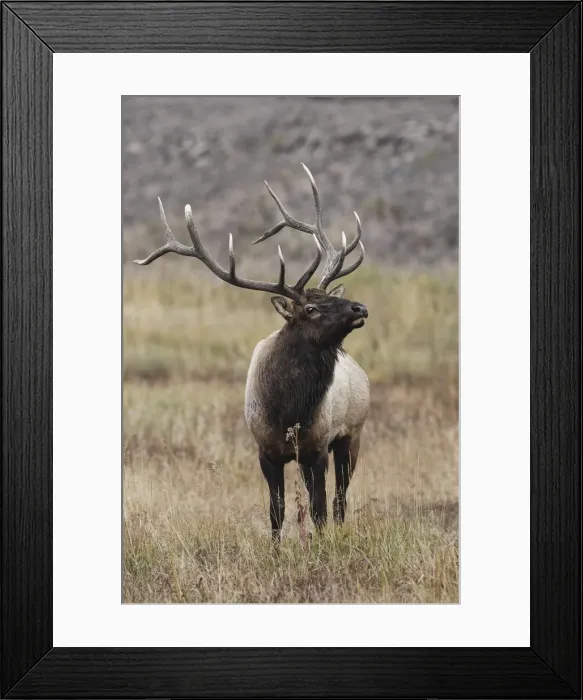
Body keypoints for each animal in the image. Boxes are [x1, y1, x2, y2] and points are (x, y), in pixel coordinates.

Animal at [134, 164, 370, 544]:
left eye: (329, 300)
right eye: (311, 309)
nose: (360, 307)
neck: (288, 409)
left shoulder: (317, 446)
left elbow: (317, 508)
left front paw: (321, 545)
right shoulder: (267, 452)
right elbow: (278, 511)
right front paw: (275, 550)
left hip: (353, 433)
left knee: (339, 497)